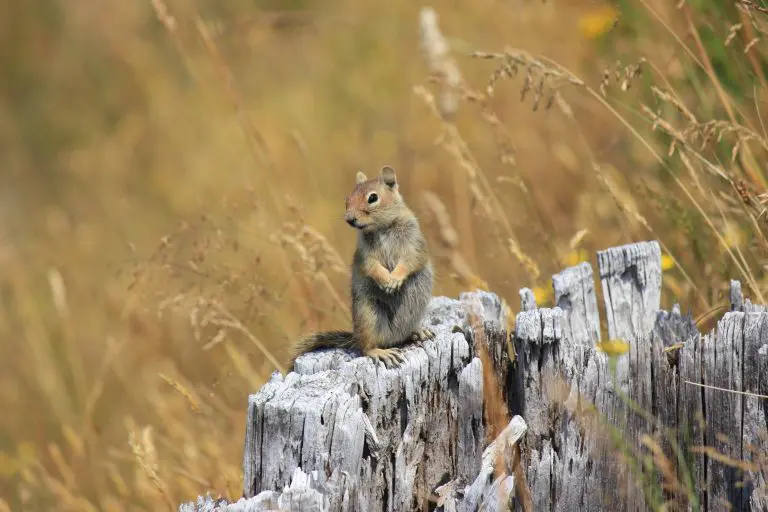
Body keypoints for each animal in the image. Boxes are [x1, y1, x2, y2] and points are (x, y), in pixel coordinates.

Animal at [288, 166, 436, 370]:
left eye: (372, 198)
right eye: (347, 199)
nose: (349, 219)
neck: (382, 228)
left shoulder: (414, 245)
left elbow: (409, 262)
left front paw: (395, 278)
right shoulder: (366, 256)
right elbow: (372, 267)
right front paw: (386, 280)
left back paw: (419, 332)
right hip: (368, 317)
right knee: (366, 348)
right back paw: (381, 352)